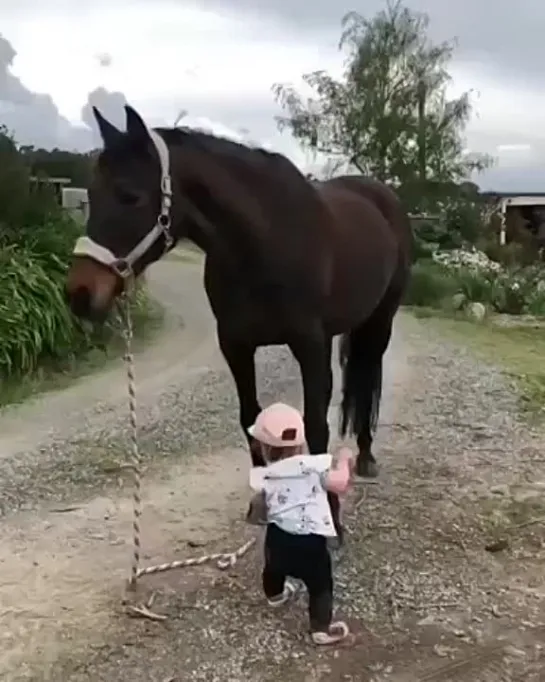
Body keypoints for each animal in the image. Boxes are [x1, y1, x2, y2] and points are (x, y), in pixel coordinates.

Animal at [63, 106, 412, 540]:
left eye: (130, 195)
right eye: (91, 195)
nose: (78, 294)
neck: (264, 241)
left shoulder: (310, 345)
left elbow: (316, 426)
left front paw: (329, 514)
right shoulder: (235, 344)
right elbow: (251, 421)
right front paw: (262, 502)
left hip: (381, 321)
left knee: (370, 378)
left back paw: (365, 455)